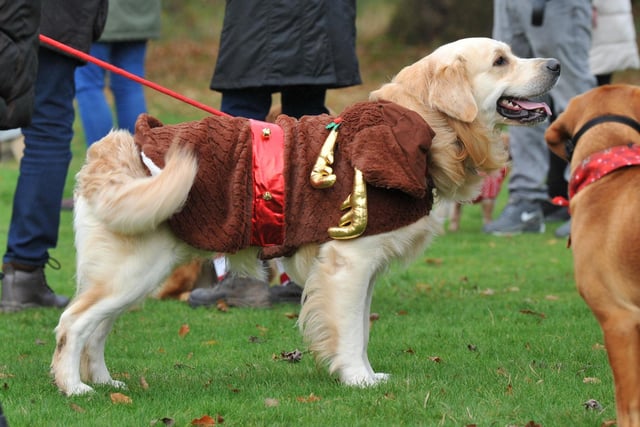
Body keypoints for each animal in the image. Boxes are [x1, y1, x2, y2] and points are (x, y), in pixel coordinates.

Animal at [51, 38, 560, 396]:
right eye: (501, 61)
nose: (555, 65)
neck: (422, 124)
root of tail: (113, 145)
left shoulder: (363, 269)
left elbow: (359, 327)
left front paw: (366, 375)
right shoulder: (348, 263)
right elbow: (350, 330)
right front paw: (358, 380)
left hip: (134, 275)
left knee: (96, 329)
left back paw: (104, 382)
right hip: (130, 271)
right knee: (72, 324)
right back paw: (74, 388)